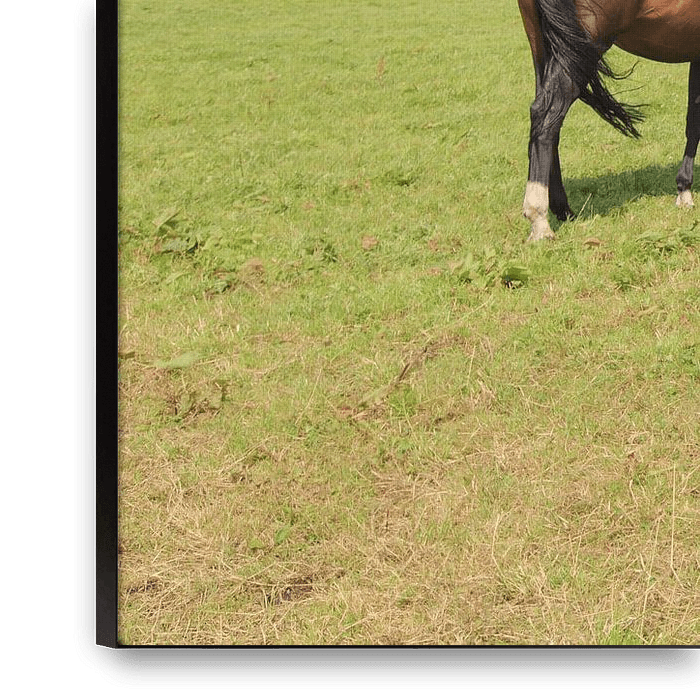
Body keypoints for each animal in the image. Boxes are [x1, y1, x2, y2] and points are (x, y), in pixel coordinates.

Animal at [518, 0, 700, 241]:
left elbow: (693, 123)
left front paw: (684, 189)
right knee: (545, 115)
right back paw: (539, 219)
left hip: (542, 44)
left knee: (546, 121)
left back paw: (563, 210)